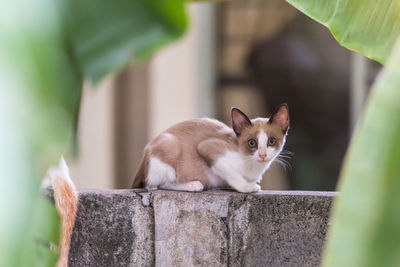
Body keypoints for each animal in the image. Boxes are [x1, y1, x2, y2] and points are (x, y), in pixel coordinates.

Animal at [132, 103, 290, 194]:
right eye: (252, 143)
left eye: (271, 141)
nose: (263, 155)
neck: (252, 166)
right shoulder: (208, 148)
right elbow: (233, 175)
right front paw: (247, 187)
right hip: (169, 146)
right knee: (155, 185)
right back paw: (193, 185)